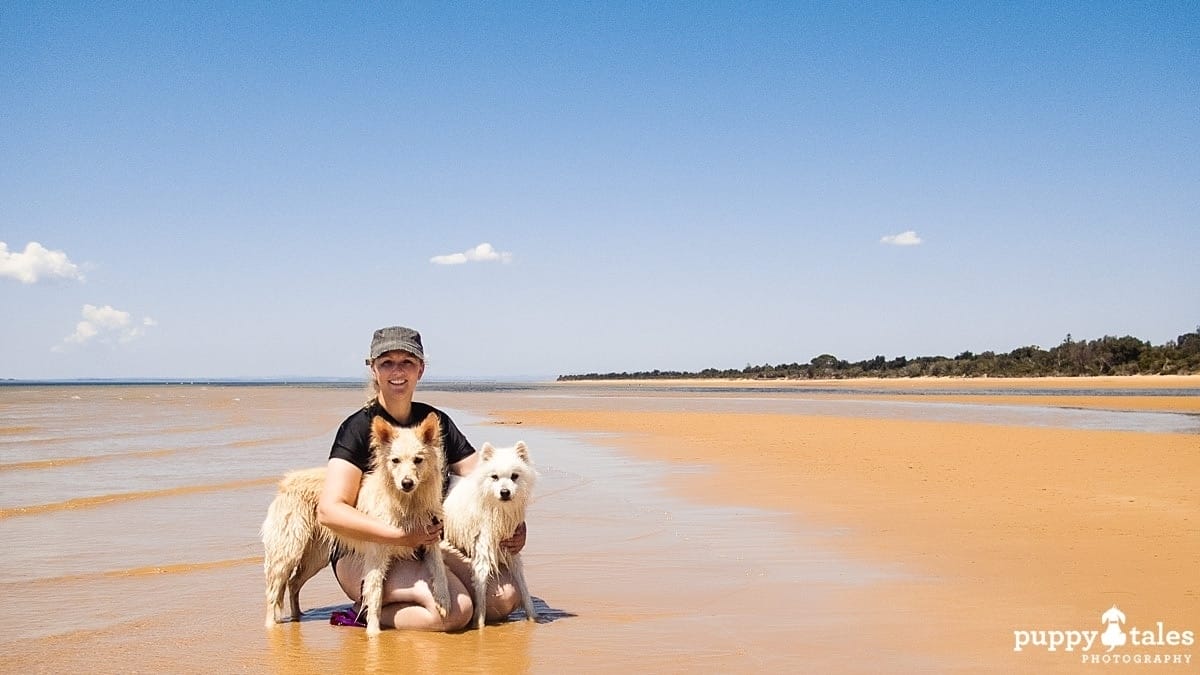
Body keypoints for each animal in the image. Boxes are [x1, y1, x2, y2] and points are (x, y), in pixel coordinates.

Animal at [444, 439, 537, 629]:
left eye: (514, 476)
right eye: (494, 477)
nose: (505, 492)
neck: (498, 511)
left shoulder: (512, 550)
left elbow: (524, 588)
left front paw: (533, 618)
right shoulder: (483, 552)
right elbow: (481, 597)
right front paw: (479, 627)